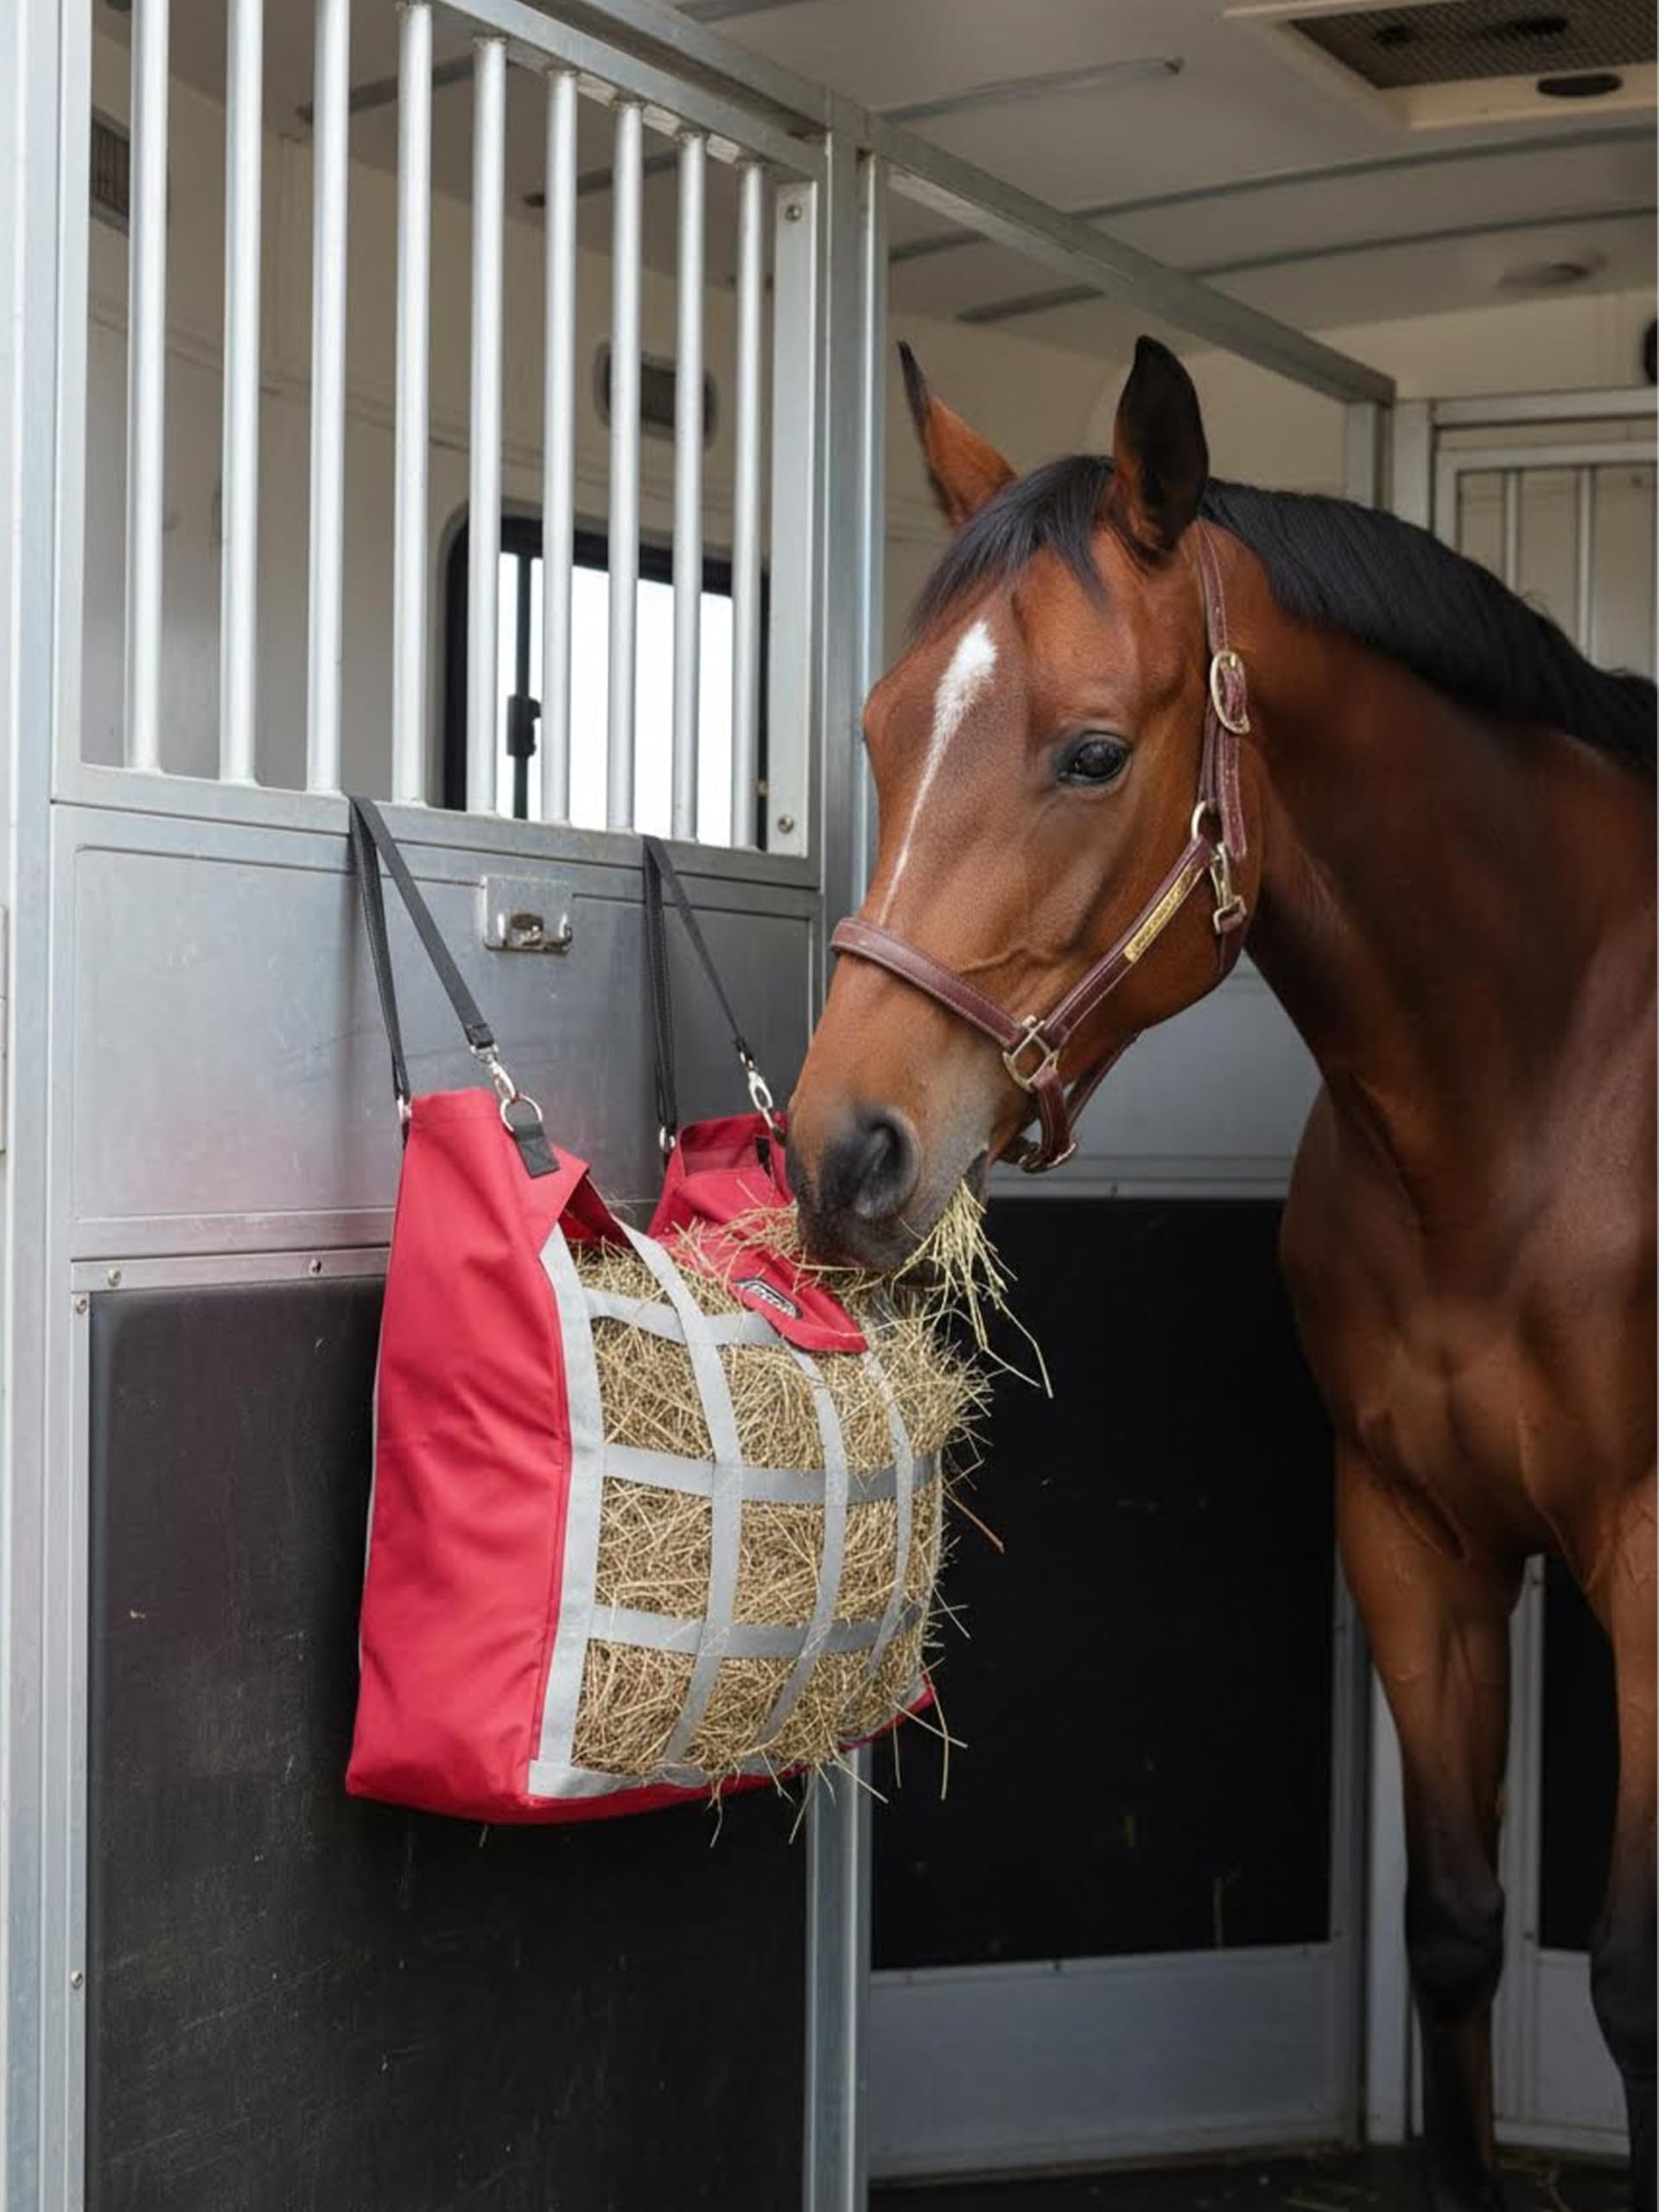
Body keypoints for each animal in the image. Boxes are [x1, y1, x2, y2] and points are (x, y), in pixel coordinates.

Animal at [786, 335, 1656, 2212]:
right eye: (884, 730)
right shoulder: (1411, 1534)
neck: (1544, 1086)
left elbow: (1630, 1973)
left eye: (1094, 752)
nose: (840, 1155)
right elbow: (1454, 1927)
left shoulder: (1653, 1553)